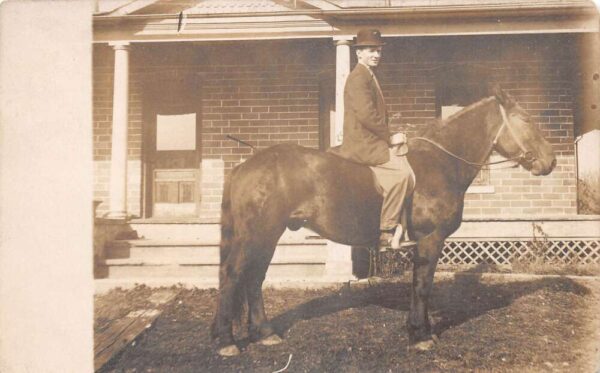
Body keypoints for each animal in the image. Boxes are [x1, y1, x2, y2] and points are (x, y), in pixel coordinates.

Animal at [212, 86, 556, 354]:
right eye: (526, 120)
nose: (550, 161)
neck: (440, 162)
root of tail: (245, 165)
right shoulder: (430, 240)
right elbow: (422, 286)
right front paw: (421, 336)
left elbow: (420, 286)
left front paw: (419, 330)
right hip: (257, 236)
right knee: (233, 276)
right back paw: (226, 342)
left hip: (268, 236)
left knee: (254, 279)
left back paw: (264, 334)